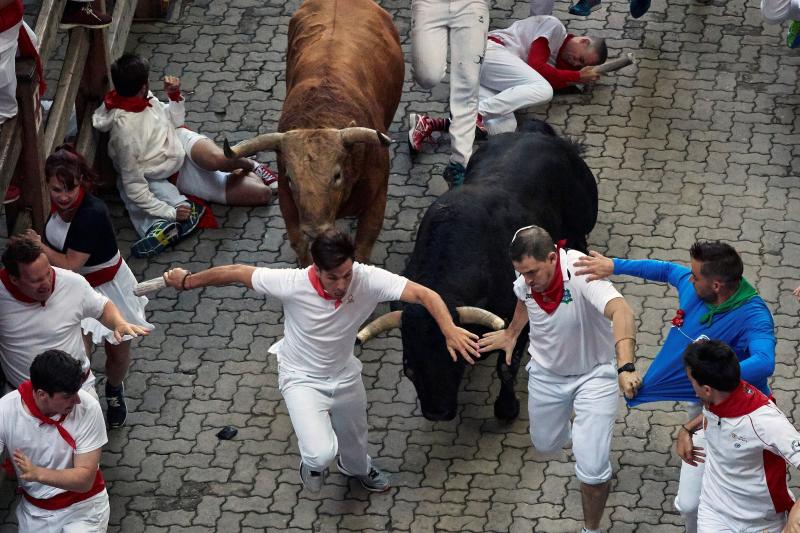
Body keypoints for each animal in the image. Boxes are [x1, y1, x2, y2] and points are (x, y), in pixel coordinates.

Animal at [223, 0, 404, 264]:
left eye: (337, 175)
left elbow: (362, 249)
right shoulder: (287, 199)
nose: (315, 230)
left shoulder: (377, 199)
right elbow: (299, 244)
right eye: (290, 179)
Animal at [398, 121, 592, 420]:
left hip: (583, 215)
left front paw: (506, 409)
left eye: (454, 358)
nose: (437, 412)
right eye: (409, 366)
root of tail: (532, 131)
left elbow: (507, 365)